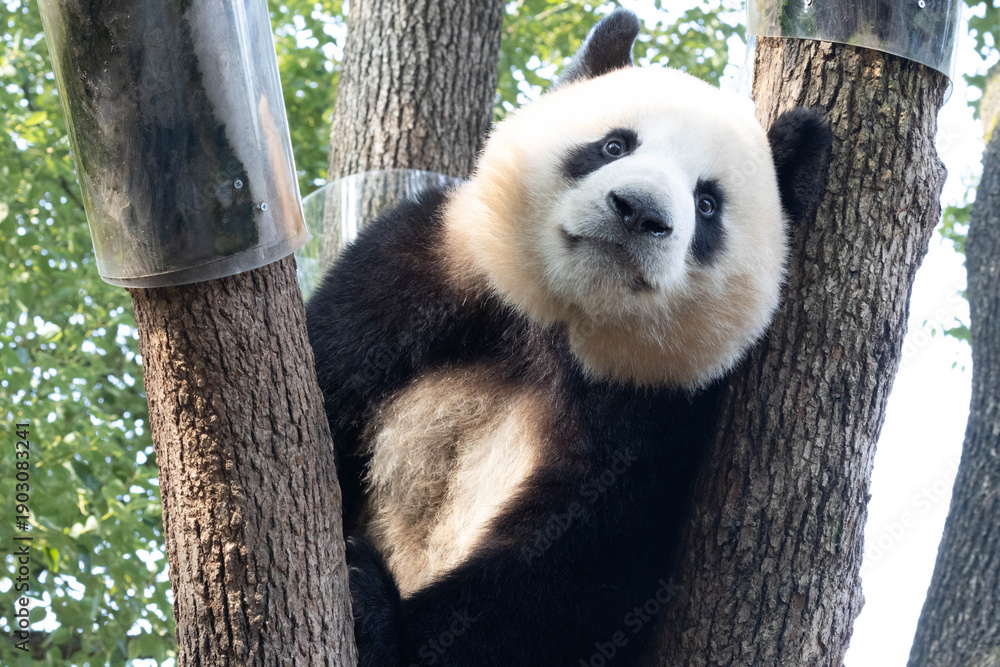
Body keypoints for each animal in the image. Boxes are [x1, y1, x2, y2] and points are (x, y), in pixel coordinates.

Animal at [306, 10, 831, 667]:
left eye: (708, 203)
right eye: (614, 145)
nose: (637, 211)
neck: (562, 322)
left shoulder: (666, 409)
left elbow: (579, 573)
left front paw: (377, 614)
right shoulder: (427, 267)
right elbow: (329, 381)